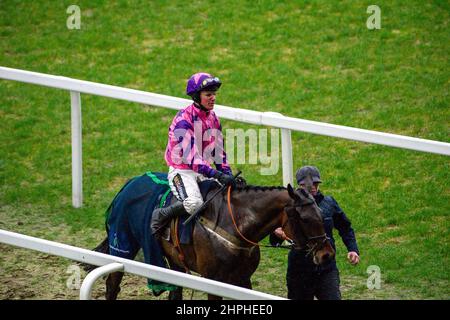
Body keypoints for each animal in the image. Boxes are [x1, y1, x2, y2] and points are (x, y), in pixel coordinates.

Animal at [88, 174, 336, 298]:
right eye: (305, 218)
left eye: (320, 212)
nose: (327, 254)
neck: (234, 226)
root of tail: (127, 185)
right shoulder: (214, 281)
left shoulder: (243, 279)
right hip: (123, 246)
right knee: (112, 285)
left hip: (175, 262)